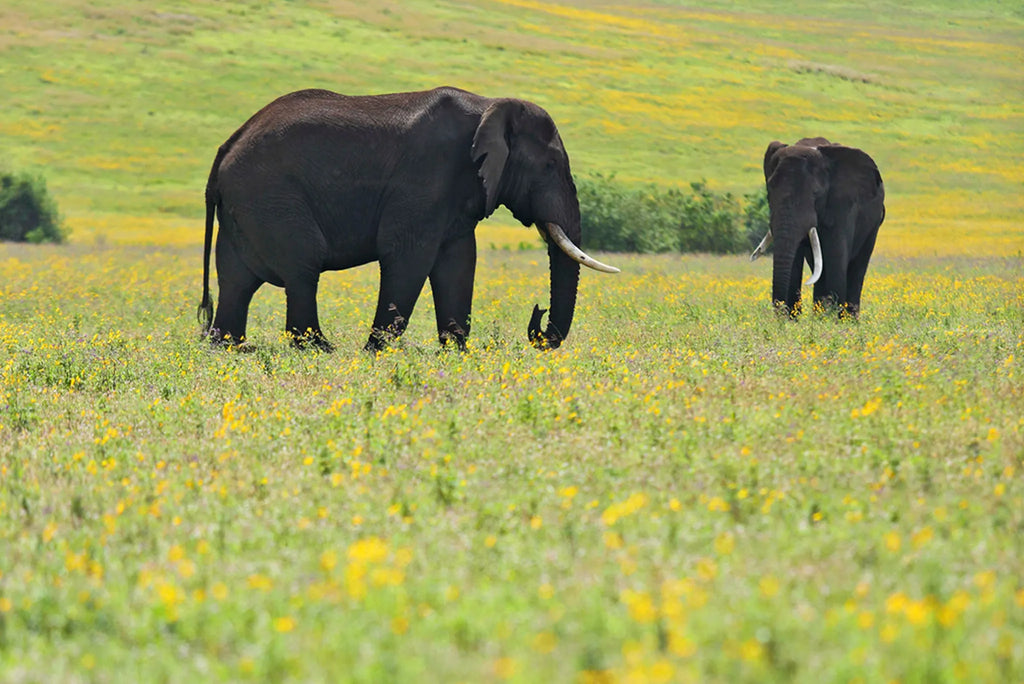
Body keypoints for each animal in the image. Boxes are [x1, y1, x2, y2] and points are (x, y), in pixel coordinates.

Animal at [196, 86, 618, 352]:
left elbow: (458, 262)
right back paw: (320, 350)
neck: (490, 105)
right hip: (270, 197)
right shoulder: (426, 176)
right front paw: (375, 353)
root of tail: (226, 147)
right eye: (549, 166)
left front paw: (457, 352)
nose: (537, 317)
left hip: (245, 207)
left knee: (236, 280)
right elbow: (408, 256)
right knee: (302, 268)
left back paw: (229, 348)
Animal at [750, 137, 885, 318]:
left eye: (816, 193)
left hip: (873, 224)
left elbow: (836, 257)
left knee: (858, 266)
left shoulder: (843, 206)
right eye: (769, 191)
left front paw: (834, 322)